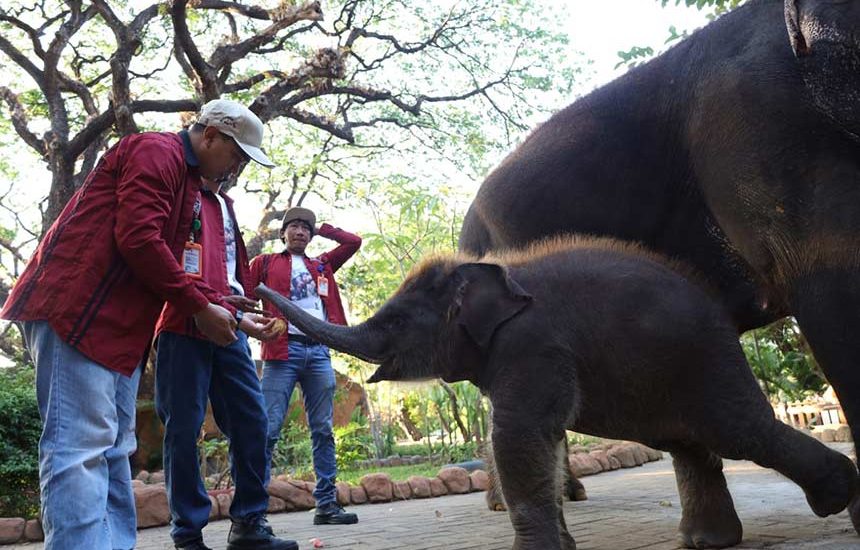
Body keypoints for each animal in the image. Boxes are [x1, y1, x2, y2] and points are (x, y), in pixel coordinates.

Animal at [254, 238, 852, 550]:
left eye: (397, 321)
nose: (253, 286)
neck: (489, 271)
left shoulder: (534, 345)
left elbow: (520, 434)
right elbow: (529, 438)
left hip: (705, 359)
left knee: (739, 431)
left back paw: (838, 496)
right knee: (688, 443)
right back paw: (708, 542)